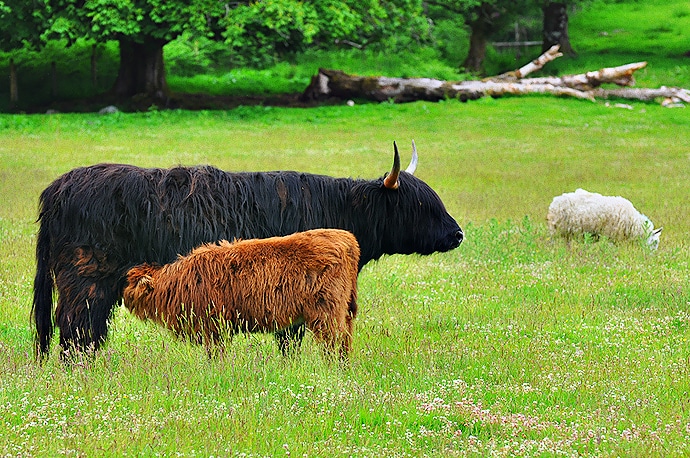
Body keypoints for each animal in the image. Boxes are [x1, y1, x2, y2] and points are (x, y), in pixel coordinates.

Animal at [123, 229, 358, 362]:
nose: (123, 298)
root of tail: (346, 239)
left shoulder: (214, 328)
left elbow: (216, 354)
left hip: (326, 314)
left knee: (334, 343)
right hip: (344, 312)